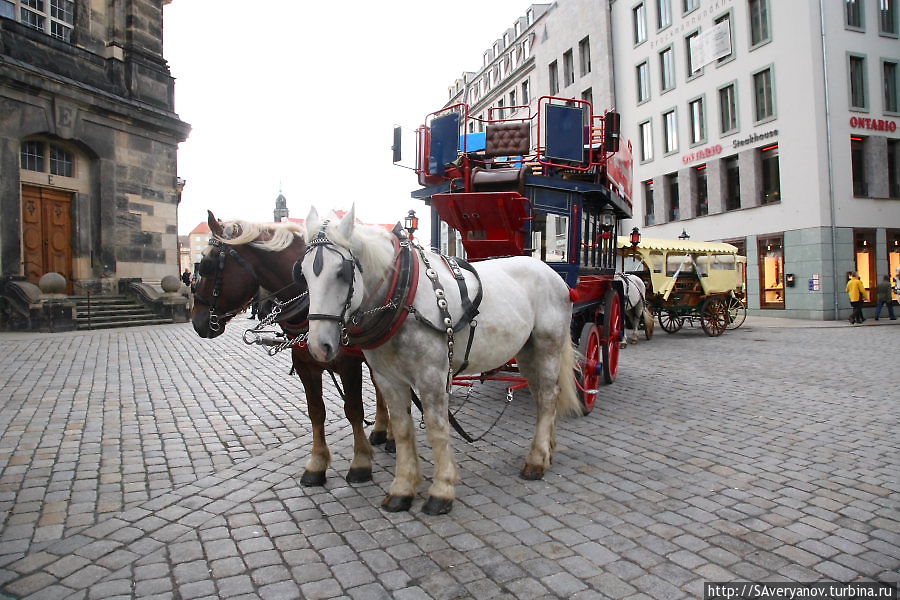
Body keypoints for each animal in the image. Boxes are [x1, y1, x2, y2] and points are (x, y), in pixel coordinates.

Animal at [190, 211, 390, 488]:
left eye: (207, 265)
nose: (196, 321)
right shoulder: (305, 365)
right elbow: (316, 412)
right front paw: (316, 463)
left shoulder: (349, 364)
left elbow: (353, 410)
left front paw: (360, 462)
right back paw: (382, 430)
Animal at [298, 207, 580, 516]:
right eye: (302, 273)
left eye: (341, 272)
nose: (319, 346)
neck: (402, 297)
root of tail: (551, 273)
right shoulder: (388, 379)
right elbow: (403, 429)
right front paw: (402, 489)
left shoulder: (432, 376)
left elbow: (436, 428)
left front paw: (441, 490)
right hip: (527, 352)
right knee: (542, 396)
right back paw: (547, 448)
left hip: (547, 346)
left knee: (550, 396)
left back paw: (537, 460)